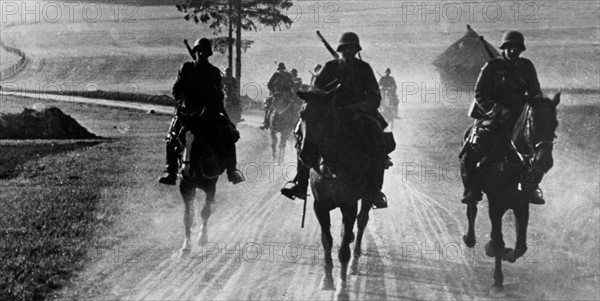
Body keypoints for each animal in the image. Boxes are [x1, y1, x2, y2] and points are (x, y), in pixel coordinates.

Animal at [296, 89, 376, 300]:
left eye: (324, 115)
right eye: (302, 114)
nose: (306, 155)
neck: (332, 165)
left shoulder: (349, 205)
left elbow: (343, 249)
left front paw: (342, 288)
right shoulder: (320, 206)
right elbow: (327, 241)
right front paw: (327, 280)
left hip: (367, 197)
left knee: (361, 222)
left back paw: (355, 262)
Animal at [462, 92, 560, 292]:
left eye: (555, 123)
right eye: (533, 122)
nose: (544, 161)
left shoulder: (522, 204)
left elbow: (521, 246)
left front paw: (506, 253)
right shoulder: (495, 204)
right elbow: (498, 240)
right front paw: (497, 279)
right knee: (471, 208)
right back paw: (470, 238)